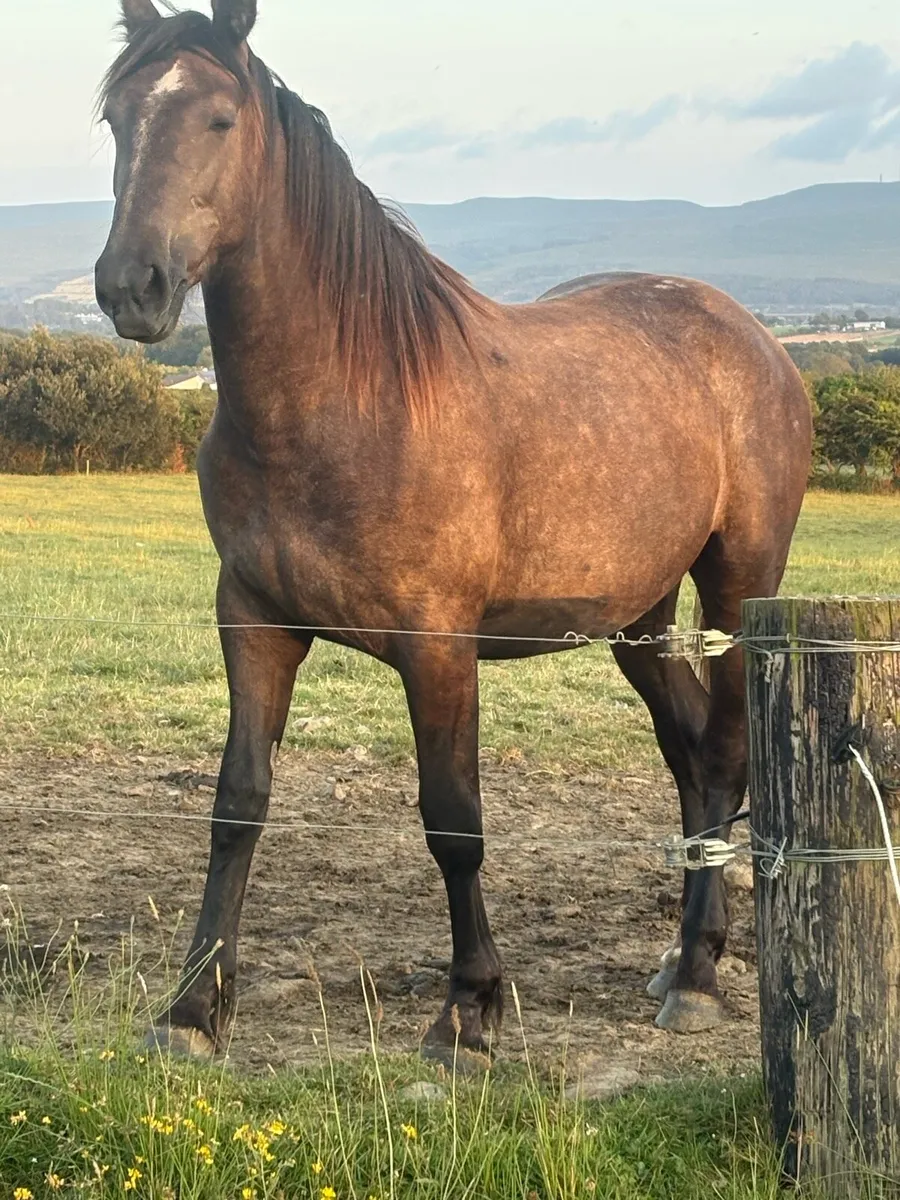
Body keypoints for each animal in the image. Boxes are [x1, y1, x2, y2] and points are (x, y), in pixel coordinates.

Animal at [95, 0, 812, 1063]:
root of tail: (754, 338)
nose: (128, 286)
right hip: (635, 615)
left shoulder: (437, 645)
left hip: (737, 585)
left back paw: (693, 977)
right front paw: (191, 1011)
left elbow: (454, 820)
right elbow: (237, 806)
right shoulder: (255, 623)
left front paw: (470, 1008)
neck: (343, 402)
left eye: (220, 120)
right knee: (689, 754)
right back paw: (688, 954)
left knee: (722, 753)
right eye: (117, 120)